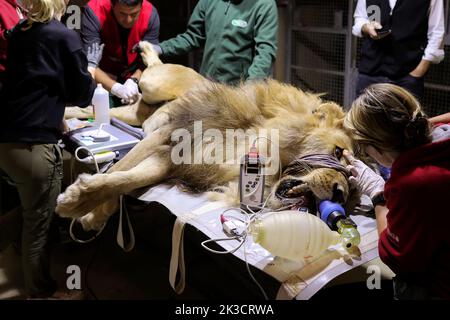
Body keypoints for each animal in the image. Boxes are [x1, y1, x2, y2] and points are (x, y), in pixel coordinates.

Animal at [57, 43, 358, 232]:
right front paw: (79, 204)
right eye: (337, 152)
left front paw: (90, 210)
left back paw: (67, 116)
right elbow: (118, 170)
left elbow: (126, 179)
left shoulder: (174, 160)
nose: (340, 194)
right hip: (153, 85)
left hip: (136, 112)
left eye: (353, 182)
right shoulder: (169, 137)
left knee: (91, 109)